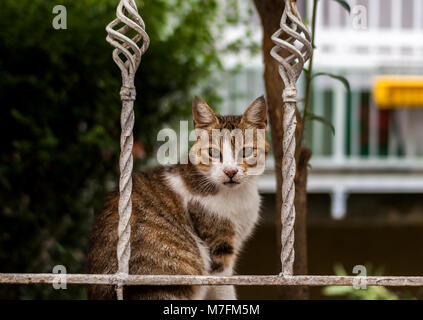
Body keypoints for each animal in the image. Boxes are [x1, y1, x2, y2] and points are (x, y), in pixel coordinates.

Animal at [88, 95, 270, 300]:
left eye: (246, 152)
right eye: (213, 152)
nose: (230, 171)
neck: (237, 194)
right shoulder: (218, 249)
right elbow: (224, 287)